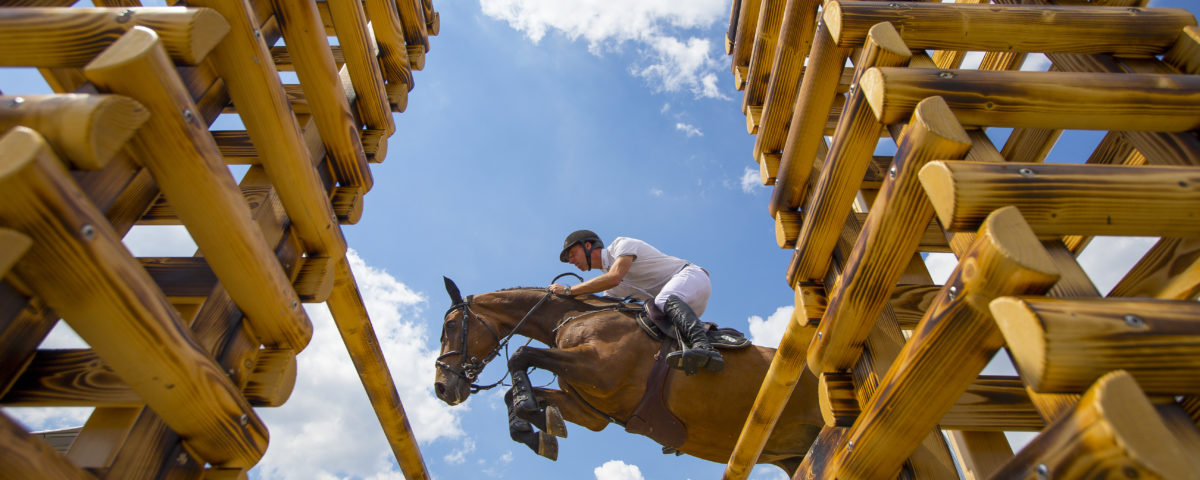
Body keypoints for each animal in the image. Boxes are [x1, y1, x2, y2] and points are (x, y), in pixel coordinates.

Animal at [434, 279, 825, 475]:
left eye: (451, 326)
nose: (441, 388)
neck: (570, 318)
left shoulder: (601, 370)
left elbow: (520, 355)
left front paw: (530, 411)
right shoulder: (589, 409)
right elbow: (518, 398)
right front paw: (538, 429)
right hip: (795, 454)